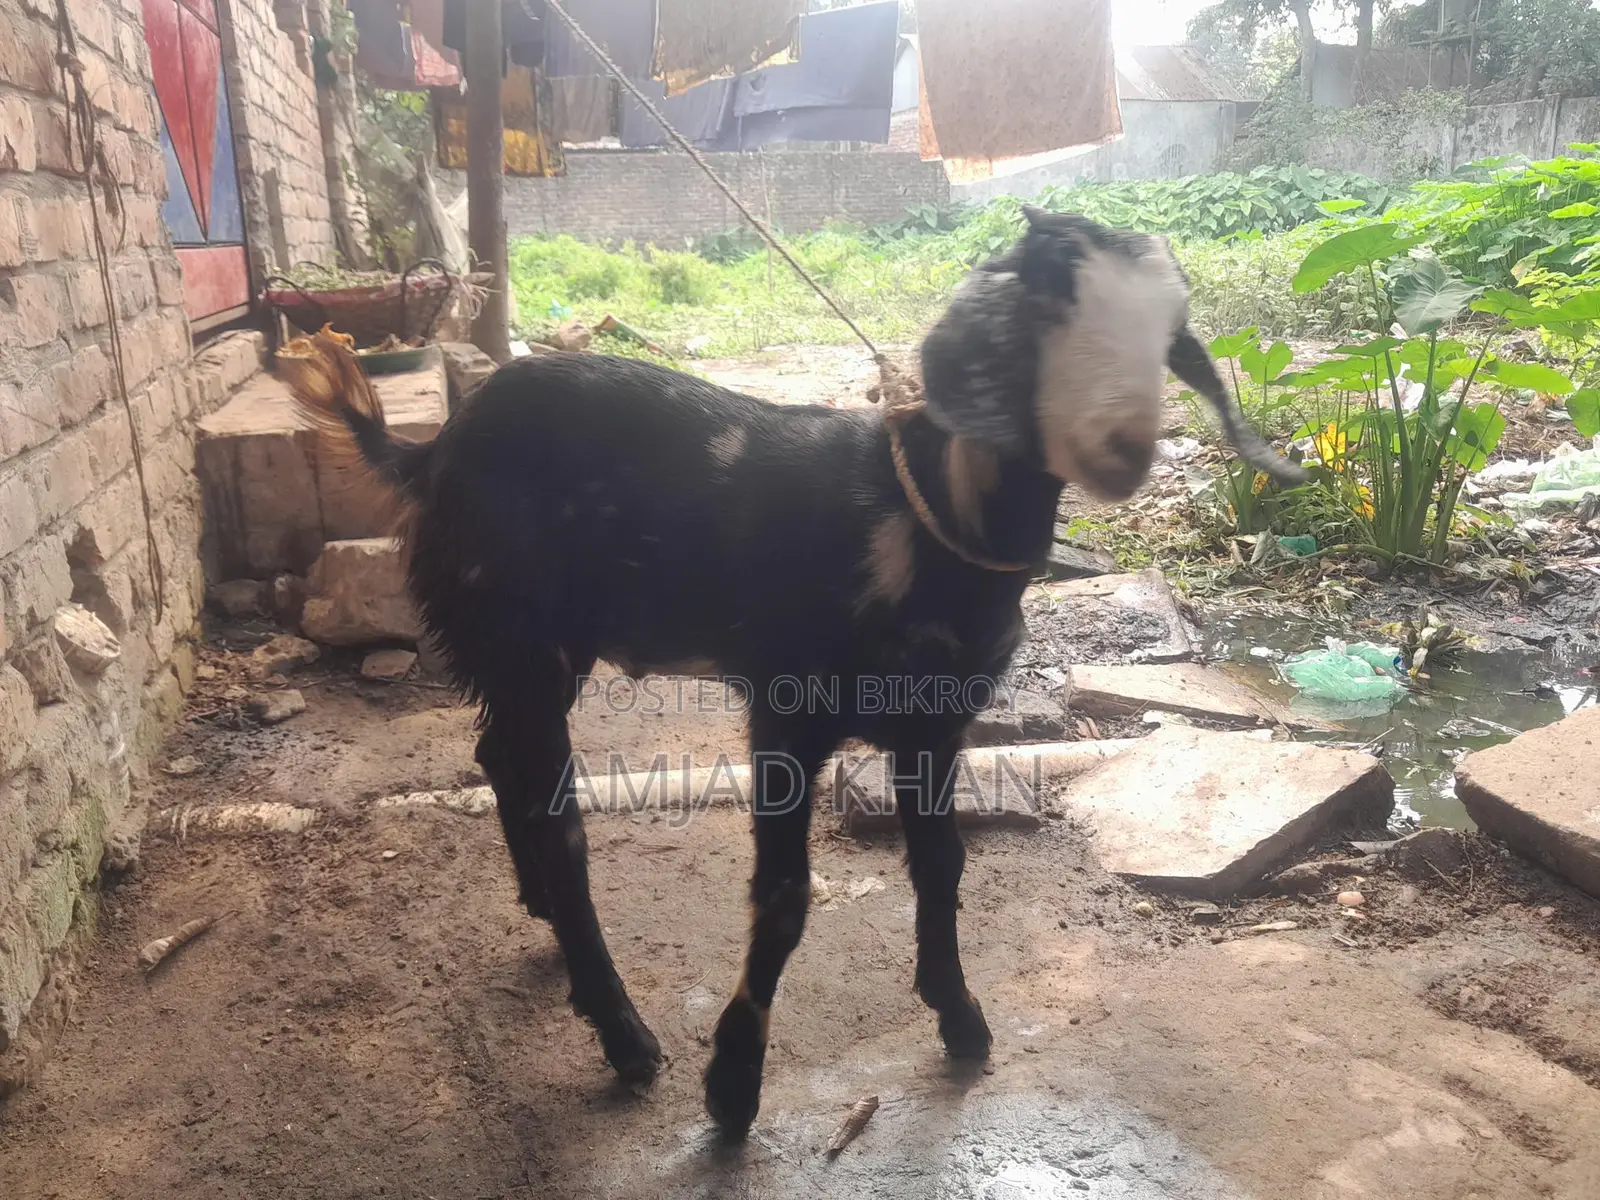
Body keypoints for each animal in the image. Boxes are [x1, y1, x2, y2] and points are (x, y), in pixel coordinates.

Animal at [282, 207, 1304, 1139]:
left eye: (1166, 332)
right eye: (1050, 306)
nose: (1124, 445)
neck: (923, 521)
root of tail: (428, 451)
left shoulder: (938, 725)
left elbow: (942, 863)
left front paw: (959, 1013)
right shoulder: (785, 716)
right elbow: (784, 900)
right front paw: (733, 1084)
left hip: (529, 650)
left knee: (500, 758)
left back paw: (543, 914)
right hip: (520, 631)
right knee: (555, 812)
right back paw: (621, 1029)